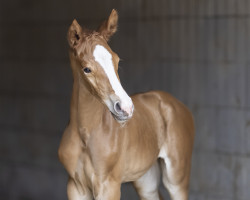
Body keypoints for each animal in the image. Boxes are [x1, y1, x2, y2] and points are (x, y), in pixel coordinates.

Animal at [57, 9, 194, 200]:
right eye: (86, 69)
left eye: (117, 61)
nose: (125, 108)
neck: (86, 134)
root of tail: (177, 104)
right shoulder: (75, 187)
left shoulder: (109, 186)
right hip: (146, 178)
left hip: (176, 176)